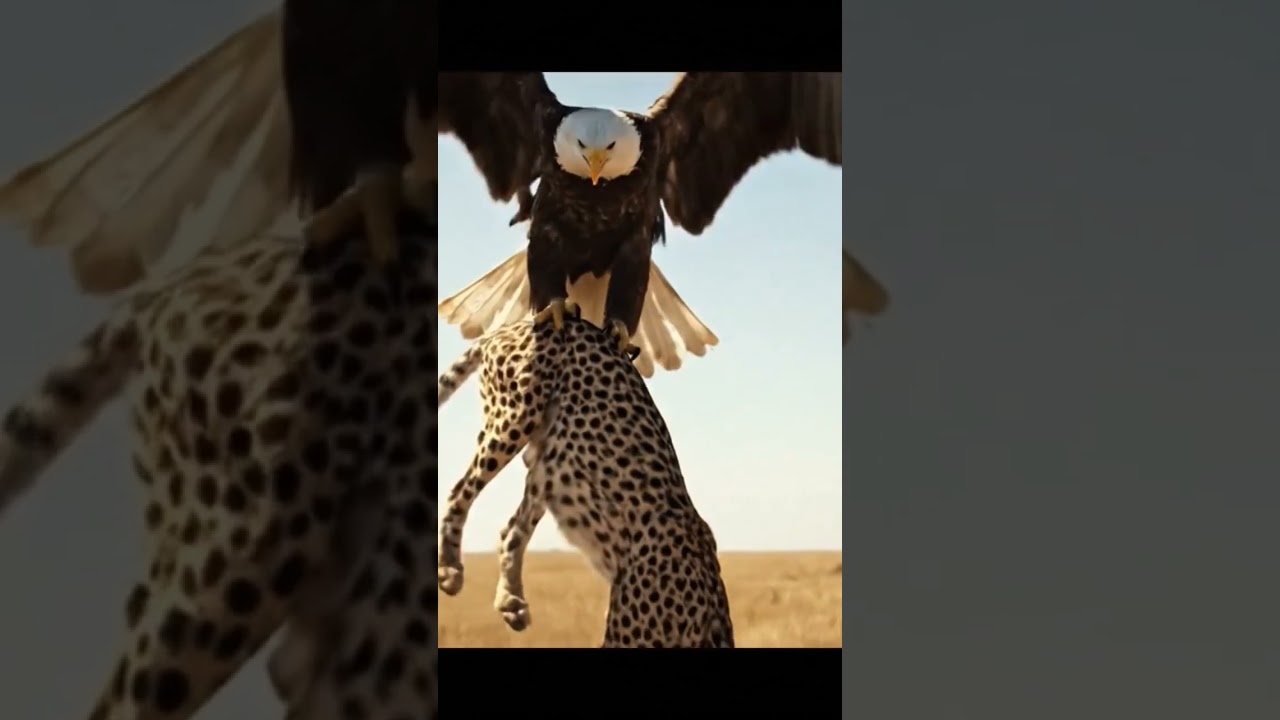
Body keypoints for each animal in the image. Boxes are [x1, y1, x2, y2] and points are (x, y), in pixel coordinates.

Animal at [436, 313, 735, 648]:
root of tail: (514, 325)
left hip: (548, 458)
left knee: (511, 528)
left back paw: (511, 601)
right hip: (518, 414)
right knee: (459, 491)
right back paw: (450, 569)